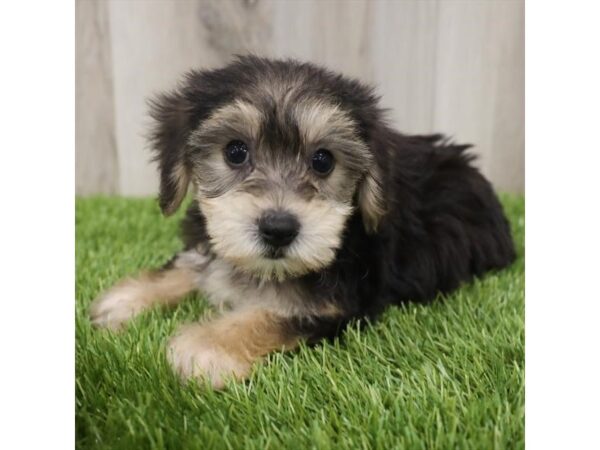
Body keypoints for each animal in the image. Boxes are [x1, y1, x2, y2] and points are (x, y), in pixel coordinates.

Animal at [89, 55, 516, 386]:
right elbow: (193, 263)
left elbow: (269, 315)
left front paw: (205, 348)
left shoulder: (337, 305)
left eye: (323, 160)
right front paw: (128, 298)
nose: (279, 229)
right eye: (235, 152)